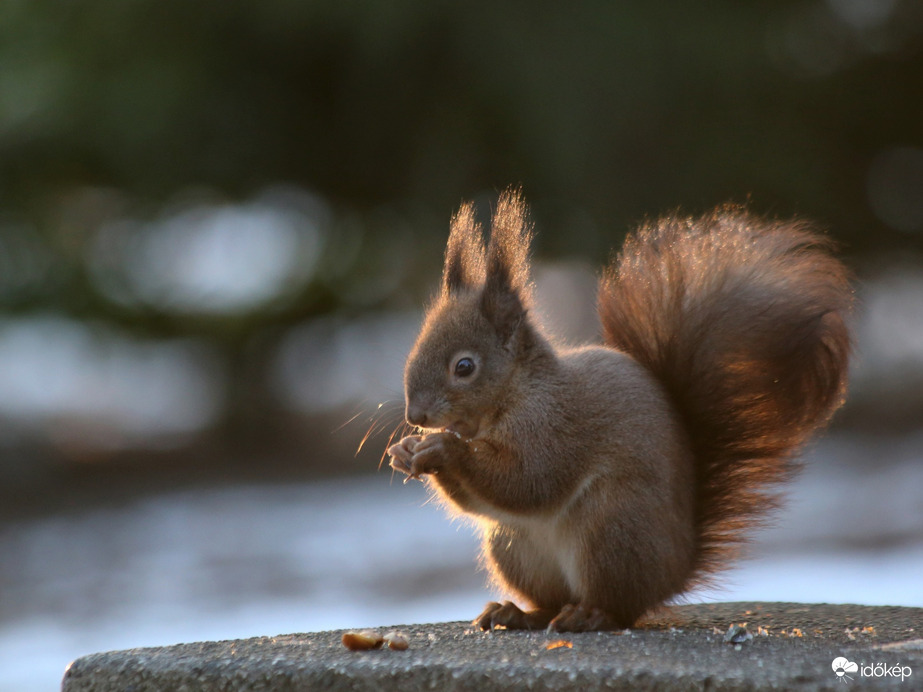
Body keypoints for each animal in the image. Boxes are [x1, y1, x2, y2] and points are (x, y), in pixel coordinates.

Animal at [384, 188, 852, 632]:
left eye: (464, 367)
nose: (415, 417)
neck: (516, 393)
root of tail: (675, 570)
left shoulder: (558, 424)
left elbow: (530, 480)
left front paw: (444, 450)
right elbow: (484, 501)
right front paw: (406, 452)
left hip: (612, 530)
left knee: (620, 608)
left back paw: (590, 617)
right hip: (513, 547)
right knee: (553, 599)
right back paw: (519, 614)